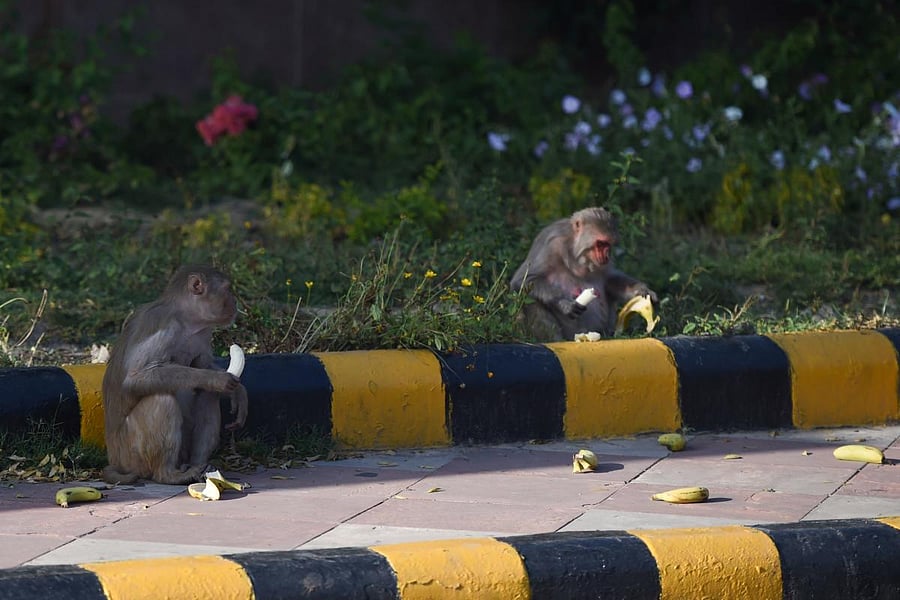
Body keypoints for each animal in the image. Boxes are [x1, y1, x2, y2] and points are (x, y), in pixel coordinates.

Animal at [101, 265, 248, 485]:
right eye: (227, 289)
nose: (235, 301)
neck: (187, 320)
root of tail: (115, 460)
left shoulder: (203, 332)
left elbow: (203, 363)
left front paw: (238, 391)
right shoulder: (166, 329)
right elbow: (136, 378)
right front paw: (216, 380)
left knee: (207, 395)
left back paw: (200, 465)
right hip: (131, 453)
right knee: (162, 400)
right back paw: (168, 474)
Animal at [510, 207, 656, 342]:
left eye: (609, 244)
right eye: (601, 243)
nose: (607, 256)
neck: (575, 252)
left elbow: (609, 279)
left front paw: (642, 291)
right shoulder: (551, 245)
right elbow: (524, 280)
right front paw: (564, 303)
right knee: (530, 300)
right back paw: (556, 340)